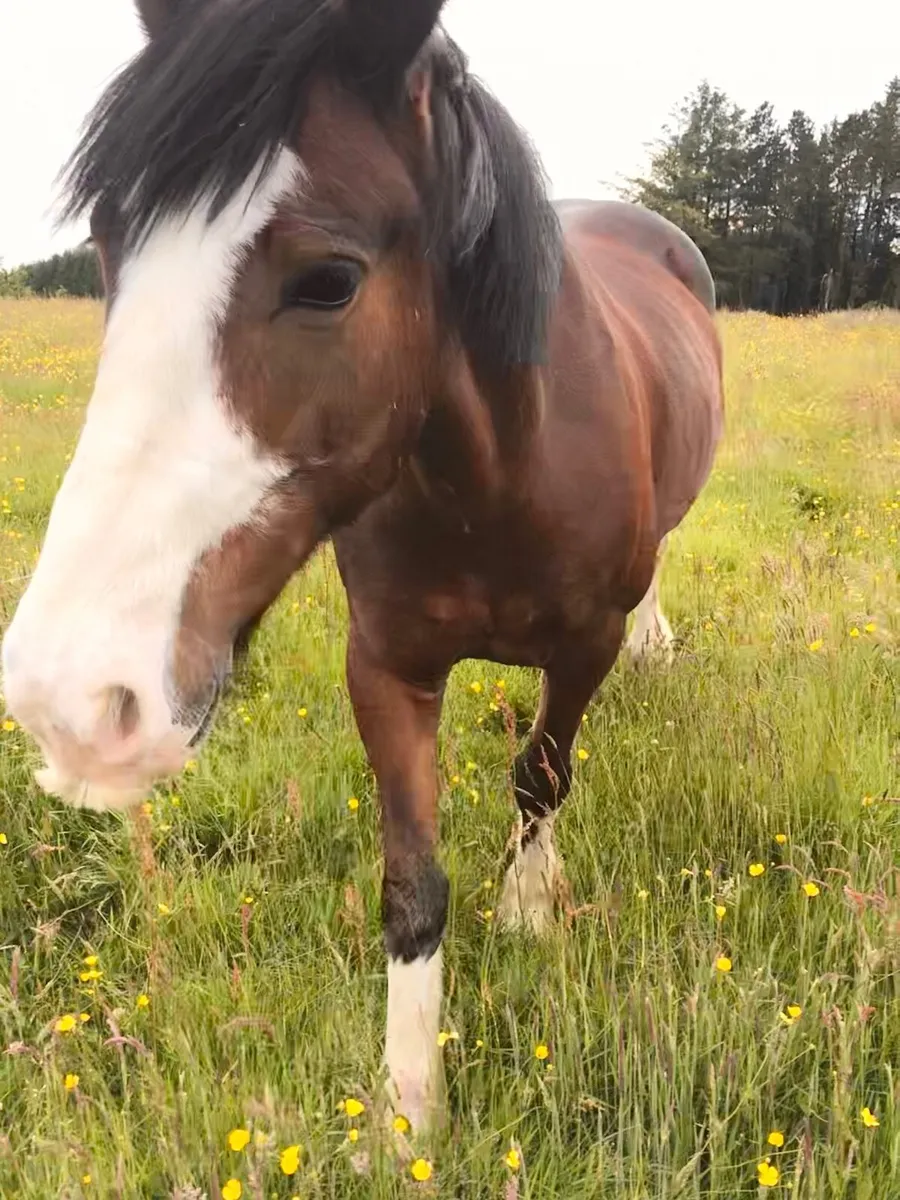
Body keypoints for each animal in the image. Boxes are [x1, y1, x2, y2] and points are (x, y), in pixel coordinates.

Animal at [1, 0, 723, 1135]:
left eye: (328, 280)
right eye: (111, 251)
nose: (68, 703)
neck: (499, 479)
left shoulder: (583, 652)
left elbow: (542, 773)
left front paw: (527, 908)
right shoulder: (386, 668)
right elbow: (412, 886)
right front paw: (407, 1113)